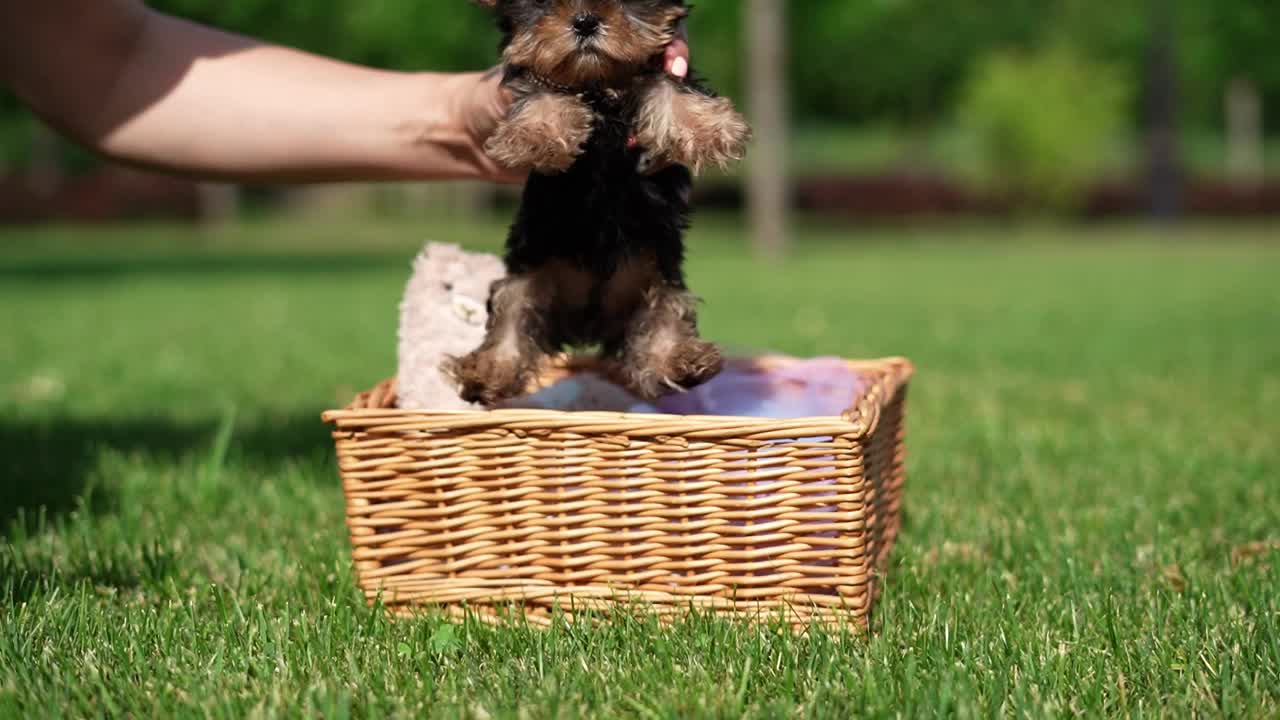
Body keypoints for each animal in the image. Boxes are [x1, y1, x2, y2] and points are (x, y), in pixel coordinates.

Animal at [448, 0, 747, 404]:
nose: (585, 21)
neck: (598, 83)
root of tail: (588, 323)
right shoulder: (537, 77)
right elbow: (544, 91)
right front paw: (536, 134)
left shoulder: (659, 65)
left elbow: (668, 84)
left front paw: (708, 128)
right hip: (526, 274)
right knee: (510, 313)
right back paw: (489, 372)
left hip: (658, 269)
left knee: (666, 310)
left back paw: (678, 360)